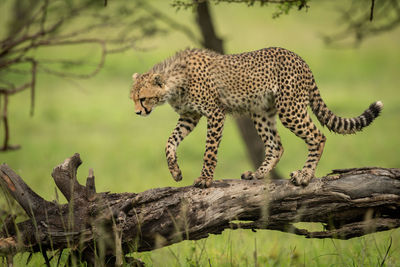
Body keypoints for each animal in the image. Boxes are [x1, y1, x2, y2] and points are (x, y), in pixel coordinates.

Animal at [130, 48, 382, 189]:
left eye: (143, 98)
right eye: (133, 98)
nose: (137, 112)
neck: (174, 81)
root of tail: (299, 58)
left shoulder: (215, 113)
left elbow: (209, 151)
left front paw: (205, 179)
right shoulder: (189, 116)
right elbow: (169, 142)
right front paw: (175, 171)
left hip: (289, 108)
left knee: (318, 136)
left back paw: (304, 175)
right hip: (260, 111)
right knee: (276, 145)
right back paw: (257, 174)